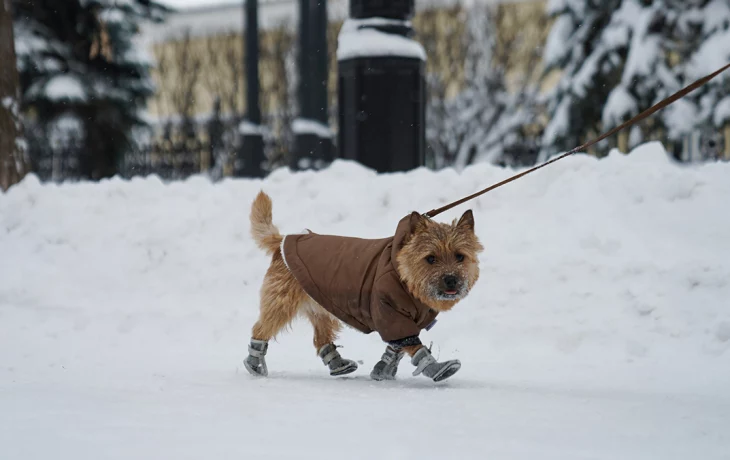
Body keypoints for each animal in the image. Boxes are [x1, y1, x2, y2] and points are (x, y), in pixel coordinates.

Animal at [245, 190, 484, 380]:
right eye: (431, 258)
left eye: (460, 256)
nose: (451, 279)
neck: (404, 275)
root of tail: (283, 240)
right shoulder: (389, 312)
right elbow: (411, 343)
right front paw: (434, 367)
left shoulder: (407, 319)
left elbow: (396, 347)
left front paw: (382, 371)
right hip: (281, 301)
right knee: (261, 328)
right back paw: (255, 363)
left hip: (320, 305)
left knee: (321, 338)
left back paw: (338, 364)